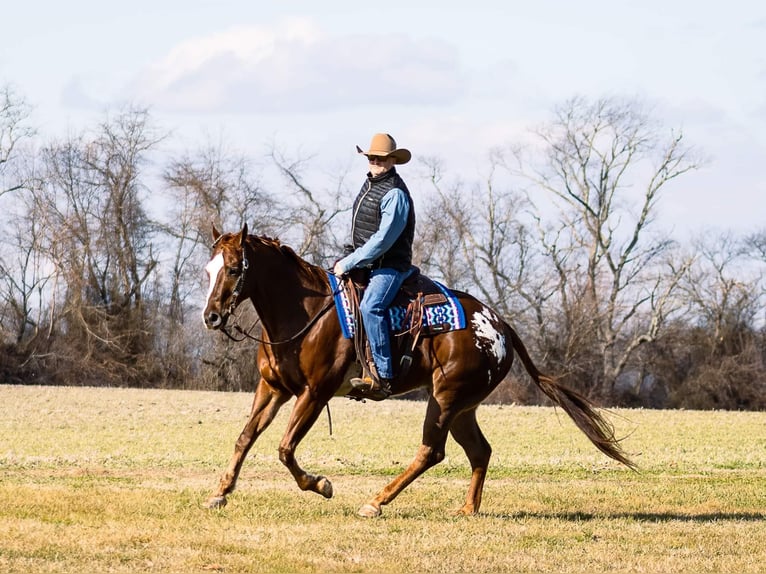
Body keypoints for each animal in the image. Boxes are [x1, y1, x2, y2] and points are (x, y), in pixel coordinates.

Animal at [200, 225, 636, 520]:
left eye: (235, 269)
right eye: (208, 270)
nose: (211, 316)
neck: (304, 312)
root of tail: (499, 325)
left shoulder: (315, 392)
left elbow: (285, 448)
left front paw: (321, 485)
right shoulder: (272, 388)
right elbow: (245, 438)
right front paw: (220, 492)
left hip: (445, 399)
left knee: (431, 451)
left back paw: (376, 502)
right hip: (463, 407)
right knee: (479, 451)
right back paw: (467, 509)